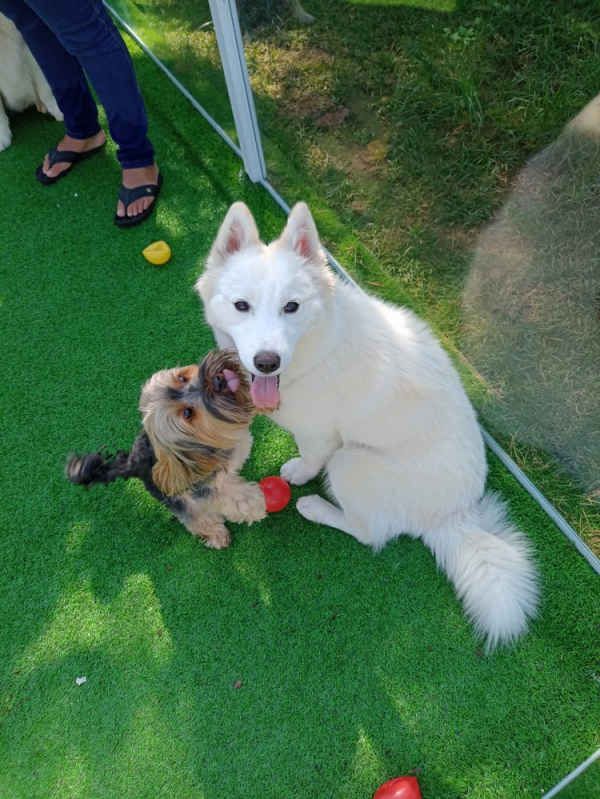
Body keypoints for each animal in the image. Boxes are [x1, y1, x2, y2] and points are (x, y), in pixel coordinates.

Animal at [65, 350, 264, 552]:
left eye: (182, 378)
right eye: (188, 414)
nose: (219, 380)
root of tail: (132, 462)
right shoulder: (201, 488)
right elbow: (228, 498)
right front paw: (252, 503)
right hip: (172, 496)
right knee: (195, 518)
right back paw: (215, 534)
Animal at [196, 200, 540, 648]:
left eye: (292, 307)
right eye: (242, 306)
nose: (266, 362)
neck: (317, 346)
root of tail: (453, 516)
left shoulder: (321, 435)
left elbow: (309, 460)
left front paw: (297, 474)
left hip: (349, 463)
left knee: (368, 533)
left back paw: (315, 507)